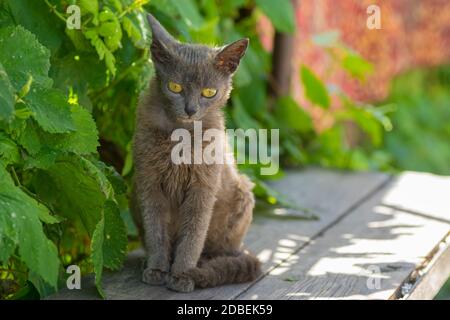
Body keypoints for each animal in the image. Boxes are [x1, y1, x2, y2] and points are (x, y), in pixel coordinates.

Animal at [130, 13, 262, 292]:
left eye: (209, 92)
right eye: (175, 87)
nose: (190, 109)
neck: (180, 134)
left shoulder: (203, 187)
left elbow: (193, 235)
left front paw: (182, 275)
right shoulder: (148, 182)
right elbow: (155, 230)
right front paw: (156, 268)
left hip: (243, 194)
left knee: (223, 250)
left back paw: (207, 266)